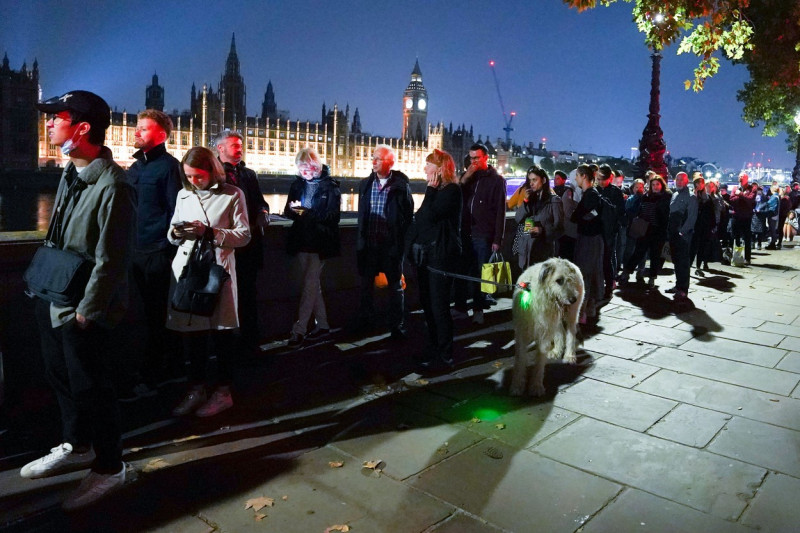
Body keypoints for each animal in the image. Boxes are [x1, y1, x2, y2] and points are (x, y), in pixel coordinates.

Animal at [512, 258, 580, 394]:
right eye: (559, 280)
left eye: (571, 279)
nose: (573, 299)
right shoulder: (522, 332)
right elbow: (521, 359)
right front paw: (517, 385)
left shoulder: (544, 334)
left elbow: (539, 360)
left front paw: (536, 386)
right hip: (555, 320)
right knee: (559, 332)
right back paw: (557, 351)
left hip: (571, 315)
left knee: (571, 332)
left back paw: (569, 355)